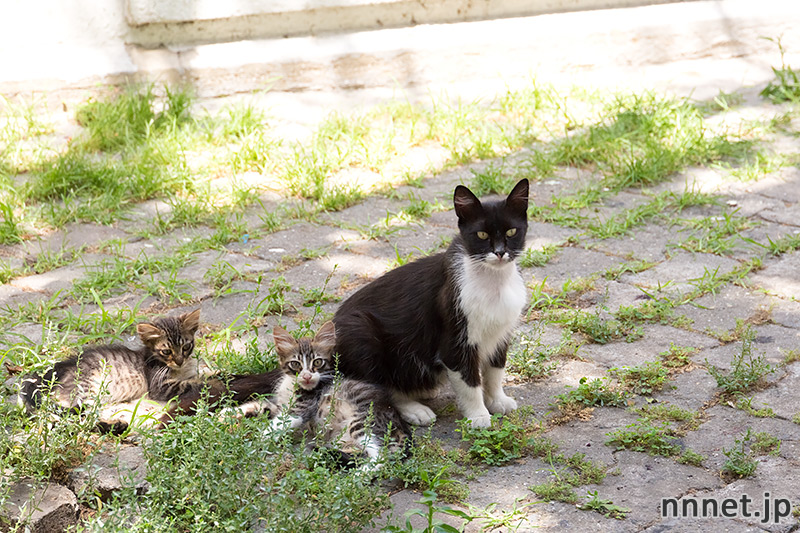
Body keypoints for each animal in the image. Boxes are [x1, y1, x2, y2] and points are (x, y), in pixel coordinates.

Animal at [21, 308, 205, 428]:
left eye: (186, 347)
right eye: (166, 351)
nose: (179, 361)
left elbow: (199, 373)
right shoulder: (159, 386)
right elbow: (191, 383)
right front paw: (207, 382)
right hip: (87, 390)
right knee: (81, 419)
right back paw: (115, 426)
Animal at [268, 320, 406, 466]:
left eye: (317, 362)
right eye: (295, 364)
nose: (307, 376)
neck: (292, 384)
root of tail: (400, 425)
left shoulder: (303, 406)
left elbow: (280, 422)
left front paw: (262, 436)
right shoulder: (281, 405)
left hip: (362, 422)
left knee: (381, 457)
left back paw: (361, 471)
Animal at [332, 179, 528, 428]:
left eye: (512, 231)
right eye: (482, 234)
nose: (501, 252)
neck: (493, 282)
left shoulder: (501, 330)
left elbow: (495, 370)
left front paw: (497, 400)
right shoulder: (454, 338)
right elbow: (469, 380)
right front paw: (478, 417)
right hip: (359, 333)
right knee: (378, 386)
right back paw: (414, 409)